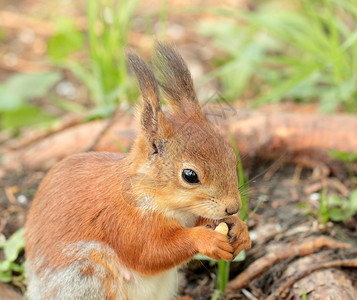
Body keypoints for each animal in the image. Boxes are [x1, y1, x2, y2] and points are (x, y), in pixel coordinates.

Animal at [24, 42, 250, 300]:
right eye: (190, 175)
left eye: (231, 156)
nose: (233, 207)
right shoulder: (124, 220)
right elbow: (149, 253)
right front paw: (206, 239)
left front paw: (239, 227)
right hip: (86, 278)